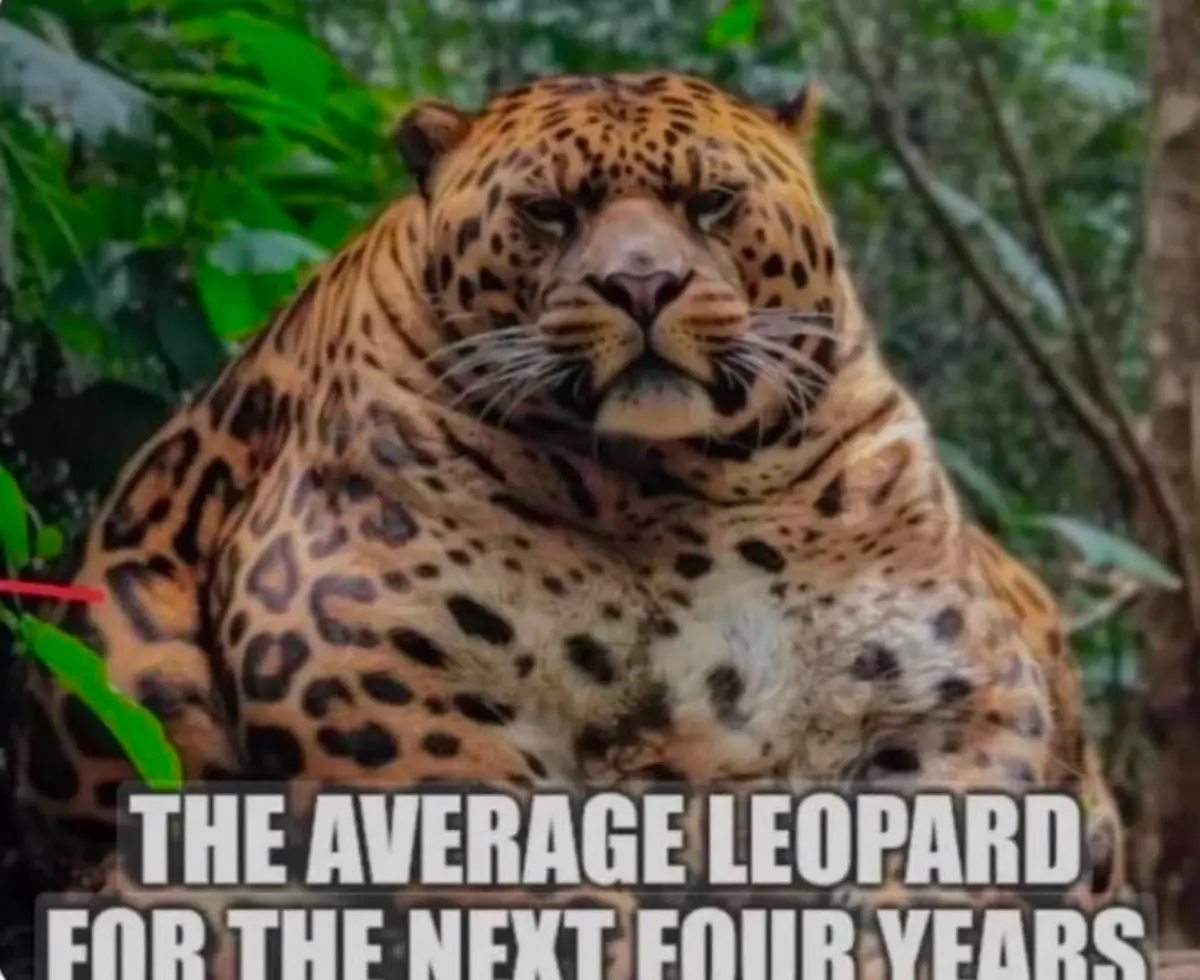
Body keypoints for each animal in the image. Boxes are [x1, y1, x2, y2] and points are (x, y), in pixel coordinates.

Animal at [7, 71, 1124, 978]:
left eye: (711, 203)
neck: (682, 483)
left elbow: (946, 859)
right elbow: (523, 867)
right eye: (549, 213)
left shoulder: (958, 684)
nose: (642, 284)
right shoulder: (346, 638)